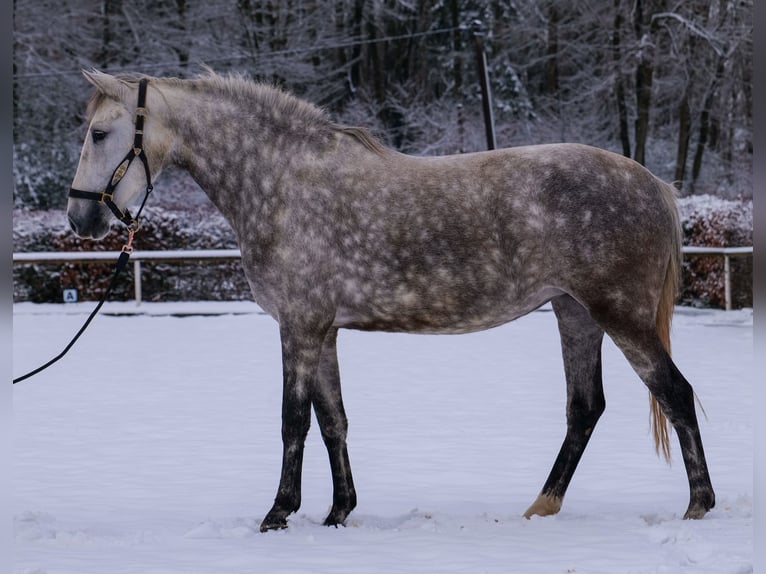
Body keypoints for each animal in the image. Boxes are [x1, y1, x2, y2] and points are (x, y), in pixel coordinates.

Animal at [66, 70, 712, 532]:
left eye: (100, 134)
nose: (79, 218)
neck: (284, 182)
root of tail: (654, 184)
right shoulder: (322, 330)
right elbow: (333, 420)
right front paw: (338, 512)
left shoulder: (299, 327)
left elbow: (293, 420)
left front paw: (278, 514)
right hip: (575, 312)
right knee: (585, 409)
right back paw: (541, 507)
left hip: (619, 315)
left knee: (675, 394)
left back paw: (698, 506)